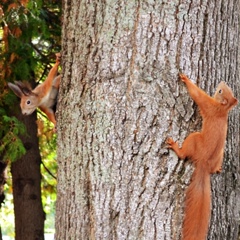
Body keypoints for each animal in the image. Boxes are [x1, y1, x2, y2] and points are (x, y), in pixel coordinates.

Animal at [167, 73, 238, 240]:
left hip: (194, 139)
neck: (222, 110)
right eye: (224, 89)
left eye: (220, 91)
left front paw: (185, 79)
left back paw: (176, 148)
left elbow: (198, 96)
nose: (222, 82)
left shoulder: (209, 105)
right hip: (220, 154)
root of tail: (204, 163)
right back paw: (217, 169)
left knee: (184, 153)